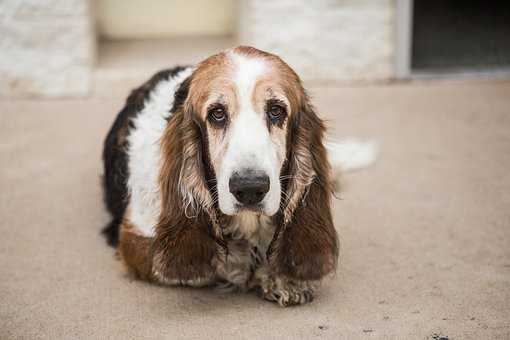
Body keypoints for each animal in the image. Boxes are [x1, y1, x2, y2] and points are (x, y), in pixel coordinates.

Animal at [101, 45, 376, 306]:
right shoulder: (134, 237)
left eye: (276, 111)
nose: (250, 188)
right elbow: (218, 265)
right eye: (217, 113)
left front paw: (284, 279)